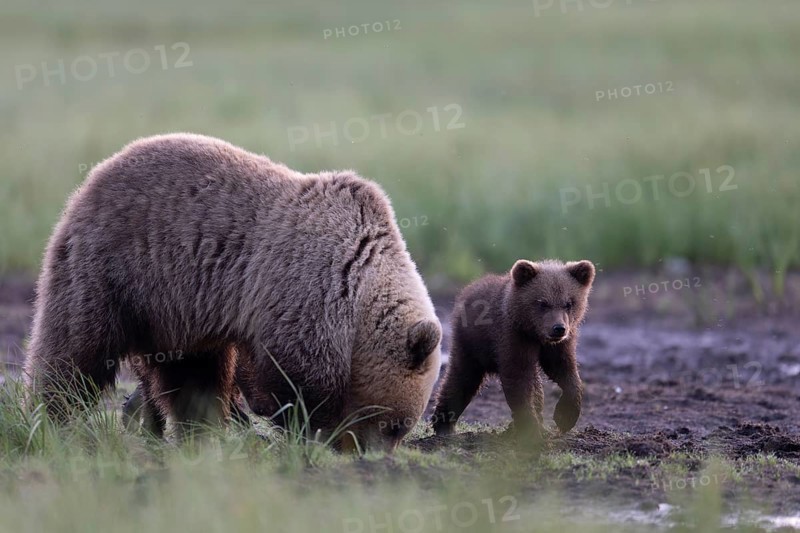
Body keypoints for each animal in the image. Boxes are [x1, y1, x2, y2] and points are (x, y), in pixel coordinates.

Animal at [25, 133, 442, 451]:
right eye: (396, 425)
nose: (371, 454)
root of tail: (94, 177)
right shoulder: (305, 292)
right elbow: (297, 378)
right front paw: (309, 428)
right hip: (116, 269)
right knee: (76, 348)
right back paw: (51, 415)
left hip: (176, 309)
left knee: (191, 371)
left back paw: (197, 429)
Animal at [431, 259, 595, 441]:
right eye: (542, 303)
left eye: (569, 303)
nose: (558, 328)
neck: (534, 333)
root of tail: (469, 289)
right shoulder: (512, 337)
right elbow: (517, 378)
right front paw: (531, 431)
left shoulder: (558, 345)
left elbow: (563, 369)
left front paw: (564, 416)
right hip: (471, 343)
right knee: (462, 378)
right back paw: (444, 426)